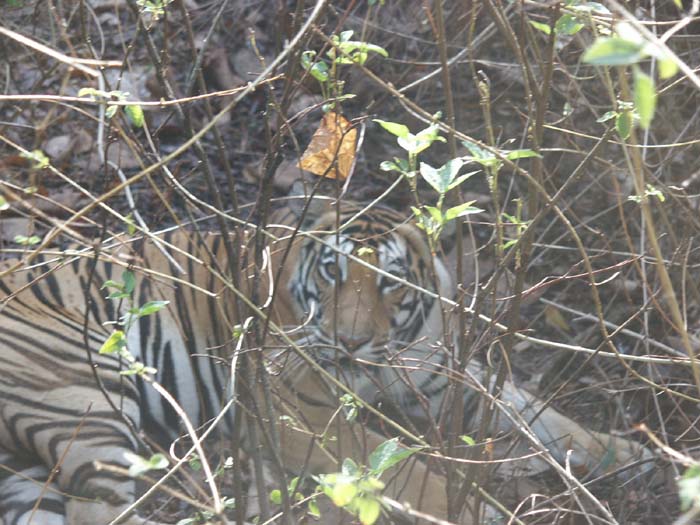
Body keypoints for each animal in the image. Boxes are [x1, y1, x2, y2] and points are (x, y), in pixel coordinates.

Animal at [0, 193, 652, 524]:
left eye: (391, 281)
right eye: (333, 272)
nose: (350, 340)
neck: (392, 353)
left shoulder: (441, 378)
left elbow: (538, 415)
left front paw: (630, 455)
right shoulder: (297, 410)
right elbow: (401, 468)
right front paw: (475, 512)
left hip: (33, 465)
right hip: (88, 397)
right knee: (98, 509)